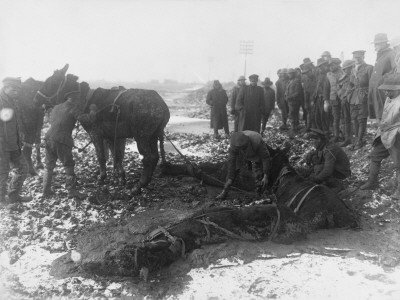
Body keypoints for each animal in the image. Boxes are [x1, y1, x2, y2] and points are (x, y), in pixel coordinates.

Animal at [34, 71, 170, 195]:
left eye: (52, 82)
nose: (36, 100)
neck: (84, 99)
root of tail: (161, 104)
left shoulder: (96, 134)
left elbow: (101, 156)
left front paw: (102, 178)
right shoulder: (111, 136)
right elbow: (117, 156)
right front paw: (120, 177)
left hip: (142, 137)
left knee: (148, 158)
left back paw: (139, 186)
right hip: (153, 136)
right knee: (155, 157)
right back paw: (145, 182)